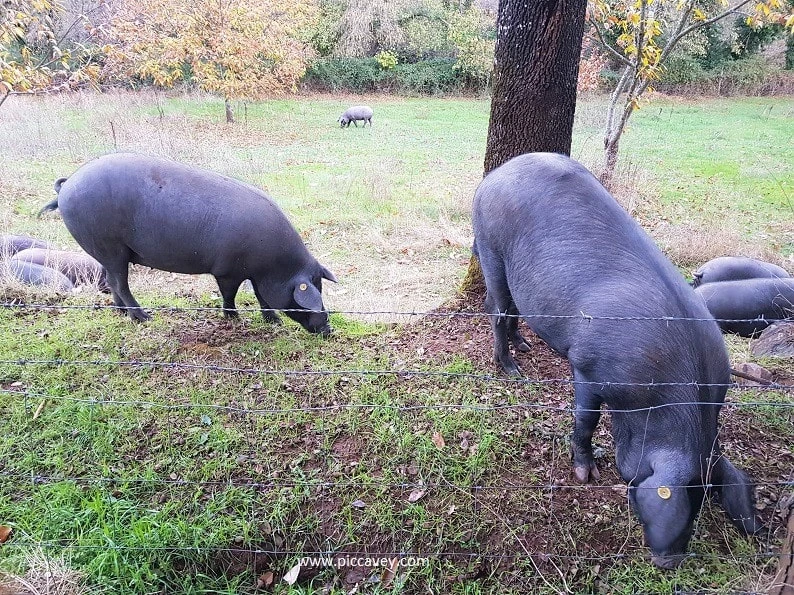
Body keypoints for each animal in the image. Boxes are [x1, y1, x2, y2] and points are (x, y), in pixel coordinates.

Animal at [38, 152, 336, 336]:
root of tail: (67, 185)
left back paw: (122, 313)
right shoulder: (227, 270)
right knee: (119, 283)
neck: (274, 266)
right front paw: (234, 318)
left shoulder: (254, 274)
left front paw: (273, 321)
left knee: (110, 281)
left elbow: (262, 296)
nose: (328, 329)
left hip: (103, 250)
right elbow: (230, 294)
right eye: (310, 295)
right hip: (111, 248)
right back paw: (143, 317)